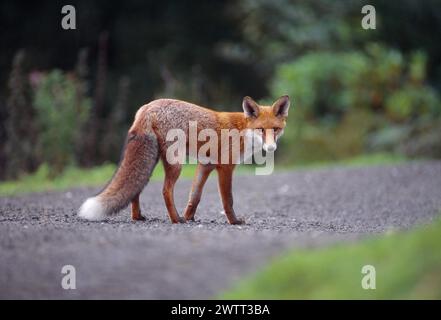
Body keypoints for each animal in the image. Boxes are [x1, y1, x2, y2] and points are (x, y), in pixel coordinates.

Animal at [78, 96, 288, 224]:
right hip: (175, 164)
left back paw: (138, 217)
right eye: (261, 130)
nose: (271, 148)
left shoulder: (206, 165)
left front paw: (189, 217)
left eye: (275, 130)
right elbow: (228, 200)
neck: (242, 131)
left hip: (151, 161)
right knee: (165, 190)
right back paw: (175, 219)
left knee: (136, 189)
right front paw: (234, 222)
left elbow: (194, 197)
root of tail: (147, 107)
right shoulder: (225, 167)